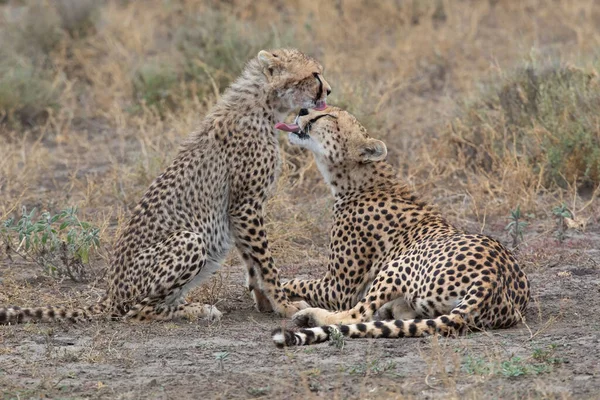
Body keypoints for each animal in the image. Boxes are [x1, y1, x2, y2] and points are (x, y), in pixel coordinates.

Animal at [1, 49, 332, 324]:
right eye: (314, 74)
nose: (328, 90)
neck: (263, 104)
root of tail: (110, 293)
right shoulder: (246, 204)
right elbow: (265, 262)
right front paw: (284, 304)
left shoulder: (238, 210)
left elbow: (253, 262)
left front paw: (265, 302)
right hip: (189, 239)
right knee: (136, 312)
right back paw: (196, 310)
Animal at [272, 107, 528, 346]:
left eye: (329, 117)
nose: (303, 110)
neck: (360, 181)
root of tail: (492, 279)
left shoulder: (337, 288)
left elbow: (297, 282)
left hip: (397, 265)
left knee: (355, 315)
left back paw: (310, 316)